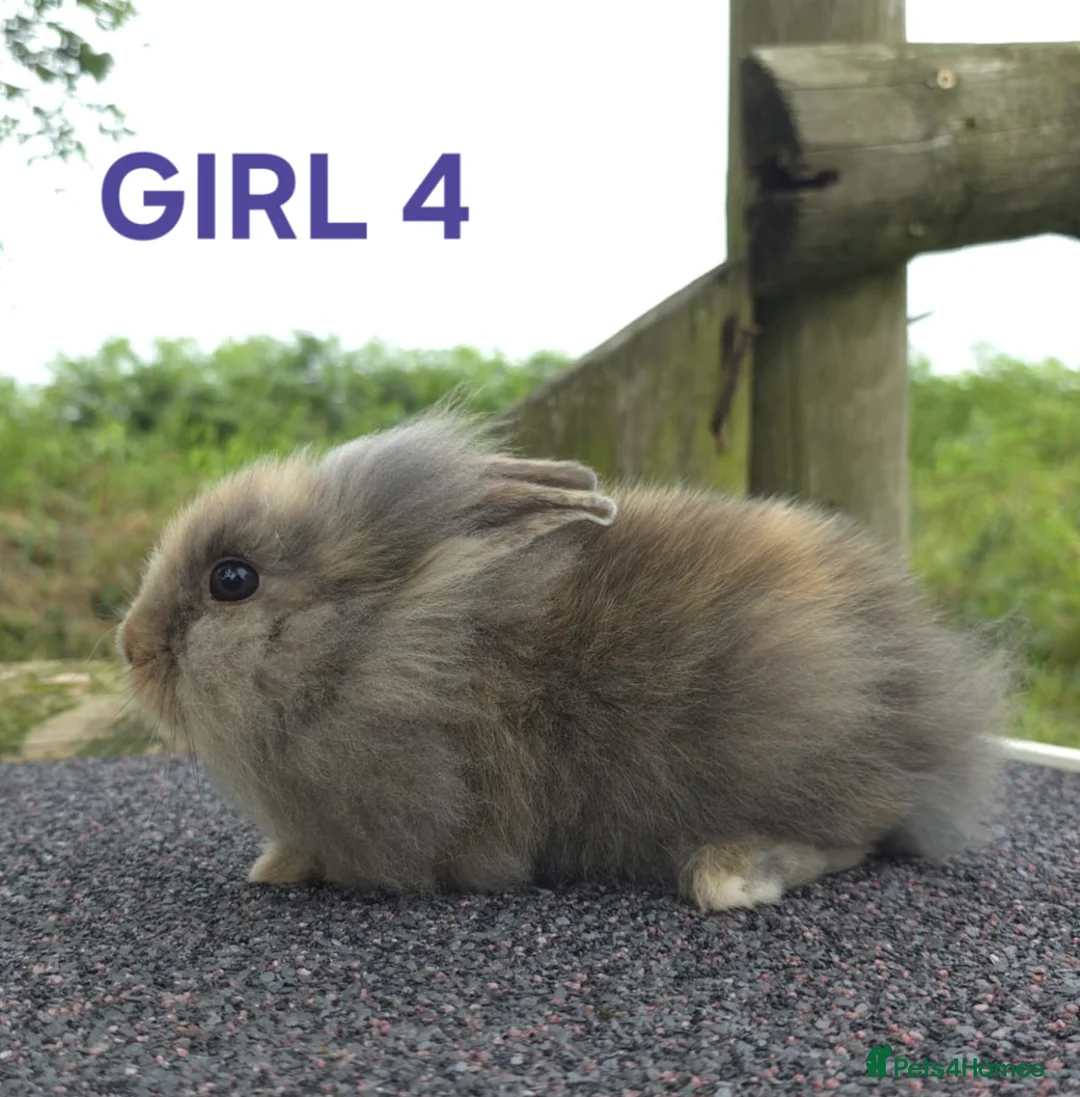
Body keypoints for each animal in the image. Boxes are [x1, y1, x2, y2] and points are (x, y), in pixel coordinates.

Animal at [117, 406, 1013, 911]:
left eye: (232, 579)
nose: (130, 647)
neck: (374, 641)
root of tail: (929, 704)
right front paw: (275, 864)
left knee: (853, 834)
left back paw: (729, 875)